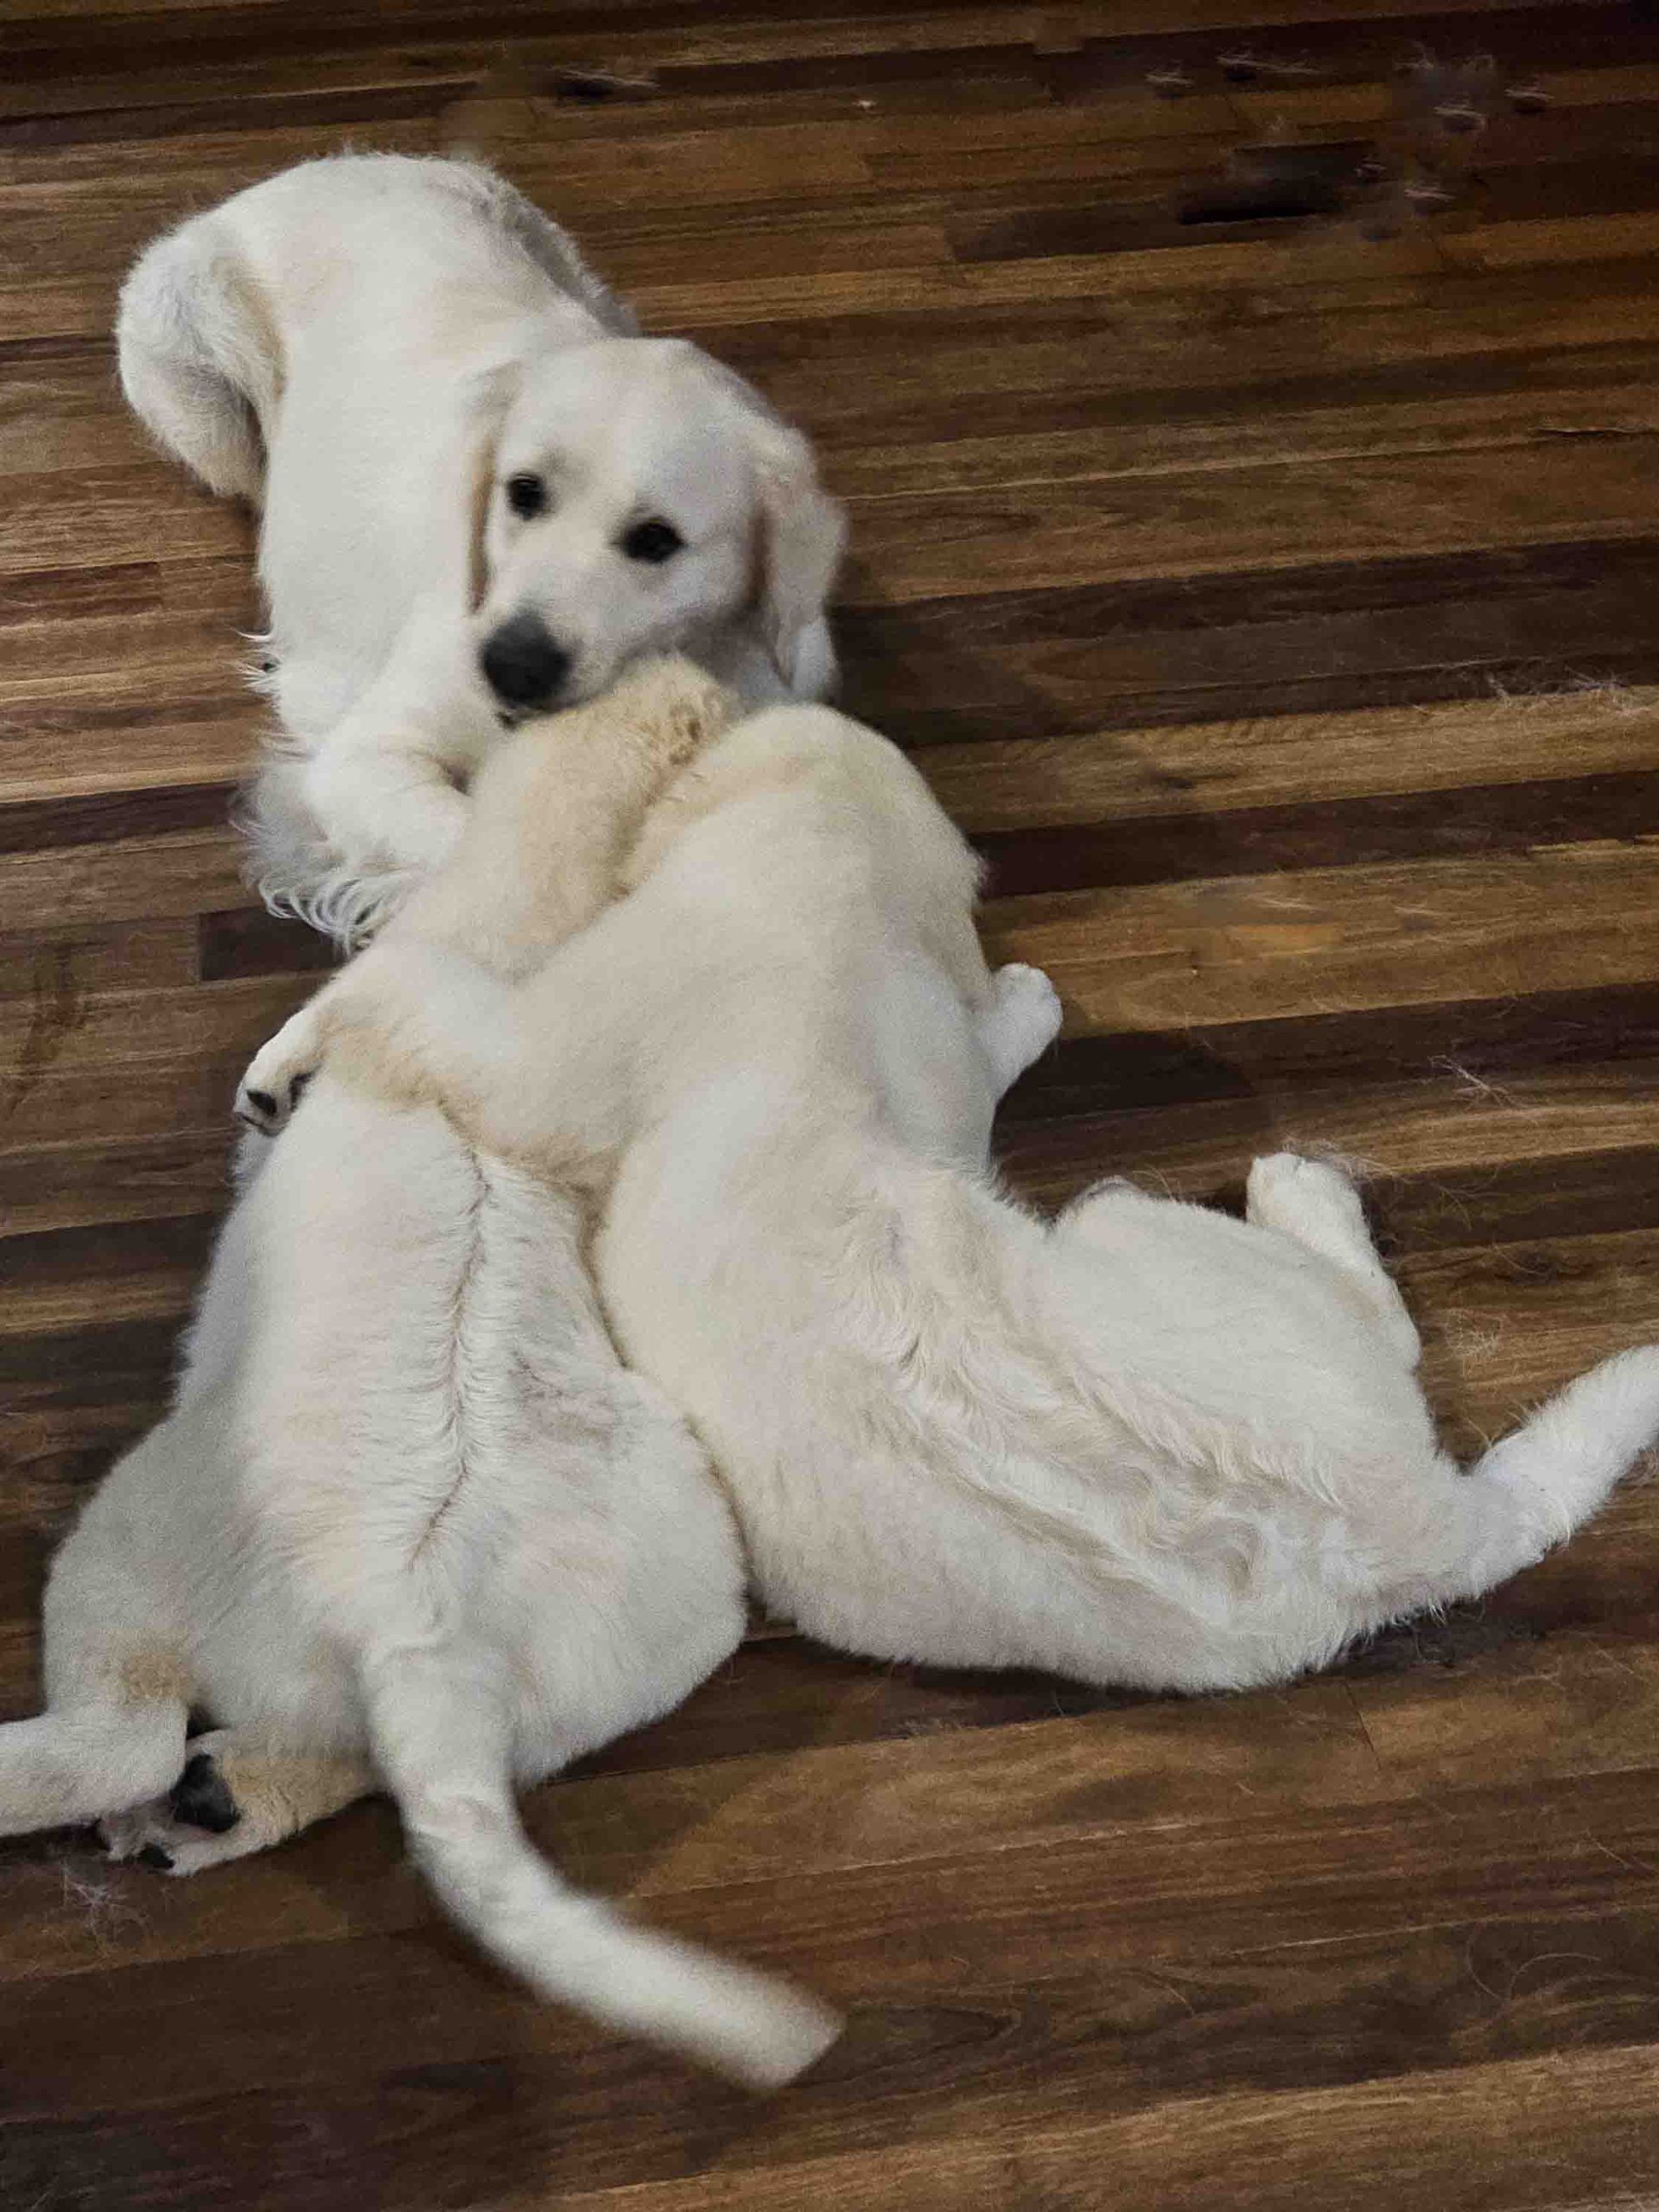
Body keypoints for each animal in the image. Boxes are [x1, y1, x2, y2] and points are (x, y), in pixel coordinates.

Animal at [0, 663, 838, 2091]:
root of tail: (422, 1634)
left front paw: (275, 1084)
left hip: (126, 1551)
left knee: (112, 1741)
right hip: (638, 1638)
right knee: (334, 1770)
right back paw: (207, 1809)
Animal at [117, 153, 846, 943]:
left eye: (657, 539)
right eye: (523, 492)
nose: (511, 666)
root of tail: (323, 164)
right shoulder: (364, 758)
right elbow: (482, 846)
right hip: (202, 392)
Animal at [241, 674, 1659, 1696]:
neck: (838, 873)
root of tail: (1424, 1527)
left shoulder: (539, 1052)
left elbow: (404, 992)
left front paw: (292, 1060)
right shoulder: (934, 1053)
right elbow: (981, 1047)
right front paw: (1025, 1000)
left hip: (1130, 1219)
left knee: (1383, 1312)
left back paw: (1299, 1182)